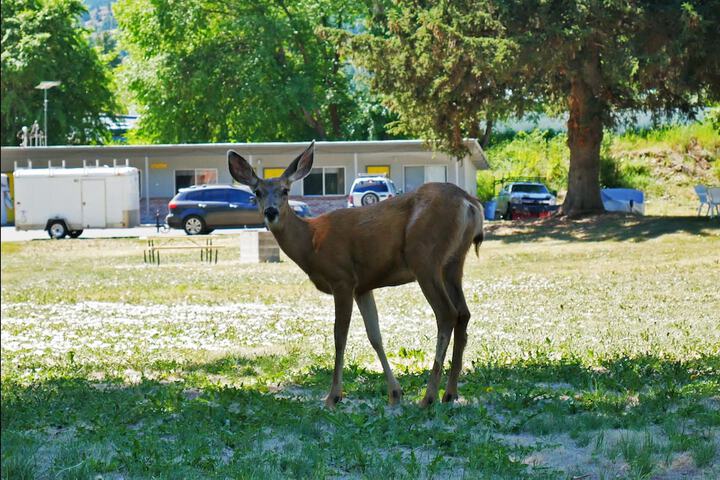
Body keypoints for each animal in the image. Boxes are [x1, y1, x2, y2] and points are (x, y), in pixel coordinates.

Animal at [229, 142, 484, 408]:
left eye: (285, 190)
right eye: (257, 192)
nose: (271, 212)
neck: (311, 241)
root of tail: (469, 202)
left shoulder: (342, 278)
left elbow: (339, 336)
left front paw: (333, 396)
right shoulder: (363, 286)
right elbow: (375, 336)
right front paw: (395, 393)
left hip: (425, 257)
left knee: (447, 313)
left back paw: (429, 396)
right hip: (454, 263)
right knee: (464, 313)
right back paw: (450, 393)